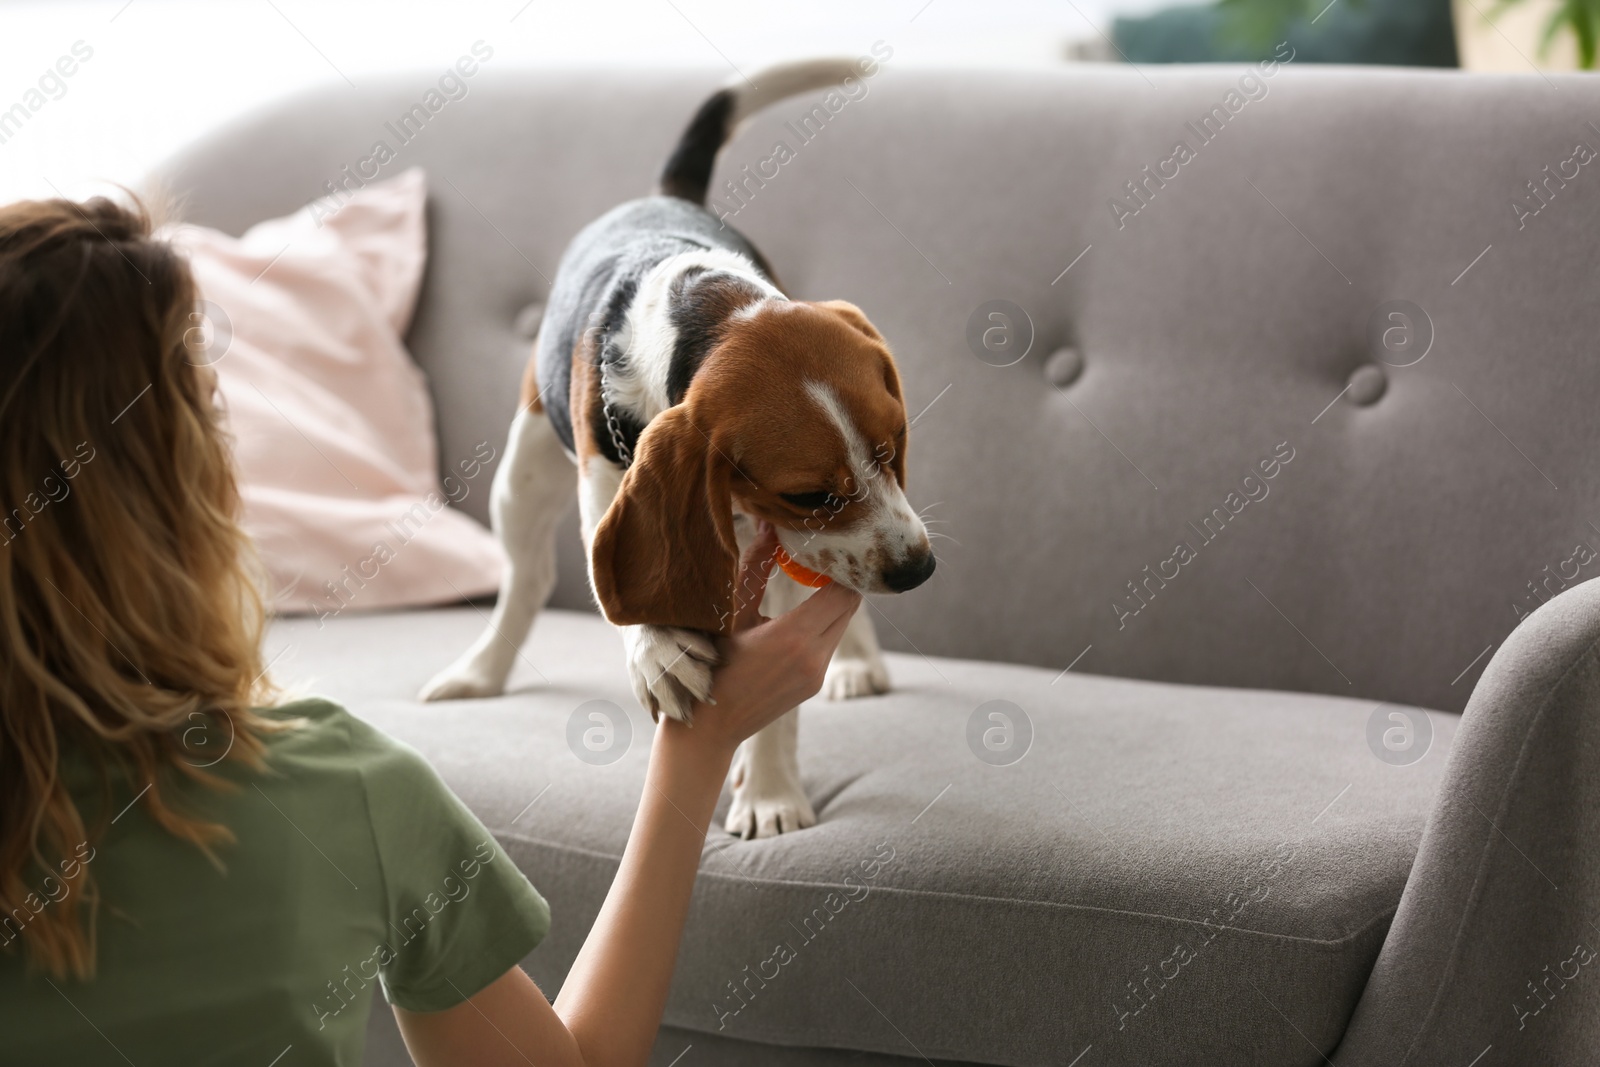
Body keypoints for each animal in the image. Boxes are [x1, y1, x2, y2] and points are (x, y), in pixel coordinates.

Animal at [419, 60, 934, 844]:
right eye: (810, 494)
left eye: (895, 445)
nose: (919, 569)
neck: (709, 309)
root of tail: (664, 196)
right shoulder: (612, 492)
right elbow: (625, 588)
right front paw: (660, 652)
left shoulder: (791, 547)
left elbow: (779, 706)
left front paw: (772, 793)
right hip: (521, 472)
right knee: (528, 580)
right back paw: (483, 670)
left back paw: (856, 662)